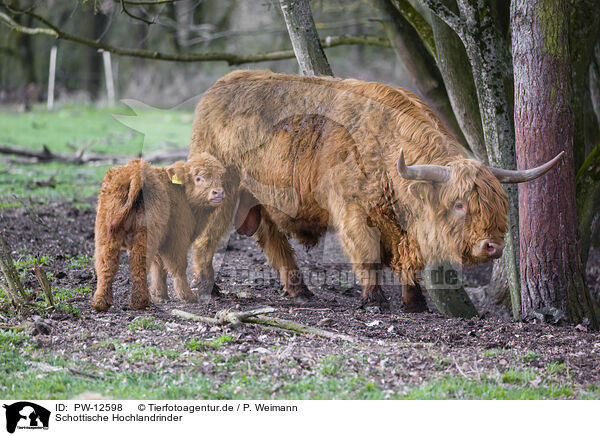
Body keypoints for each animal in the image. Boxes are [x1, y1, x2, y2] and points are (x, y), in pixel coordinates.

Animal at [91, 155, 225, 312]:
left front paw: (160, 295)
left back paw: (100, 302)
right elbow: (177, 266)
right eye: (198, 178)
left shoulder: (162, 240)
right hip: (145, 236)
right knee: (138, 265)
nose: (218, 192)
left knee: (105, 265)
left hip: (105, 234)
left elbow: (159, 267)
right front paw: (187, 296)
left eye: (220, 176)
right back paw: (140, 302)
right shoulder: (176, 239)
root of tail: (134, 170)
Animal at [189, 70, 564, 312]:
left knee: (273, 240)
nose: (493, 246)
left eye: (500, 204)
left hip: (261, 200)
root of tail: (217, 89)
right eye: (459, 204)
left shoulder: (404, 229)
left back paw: (300, 291)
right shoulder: (354, 211)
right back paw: (208, 287)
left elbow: (410, 263)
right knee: (206, 238)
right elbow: (366, 254)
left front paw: (415, 303)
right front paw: (374, 301)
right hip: (223, 191)